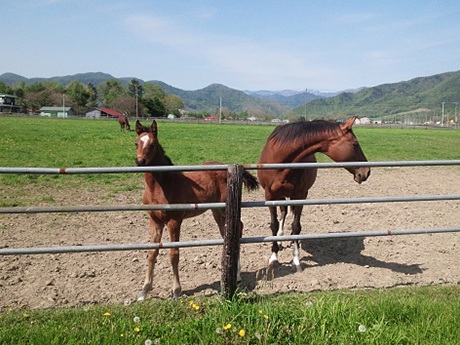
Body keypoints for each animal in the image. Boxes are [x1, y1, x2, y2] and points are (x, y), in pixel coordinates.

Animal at [135, 119, 260, 300]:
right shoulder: (155, 220)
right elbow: (152, 252)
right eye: (136, 143)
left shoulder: (174, 221)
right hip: (217, 211)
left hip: (224, 209)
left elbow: (174, 254)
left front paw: (176, 291)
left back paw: (236, 275)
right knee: (226, 231)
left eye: (152, 144)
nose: (140, 161)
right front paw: (144, 291)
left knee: (239, 227)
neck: (162, 185)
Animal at [256, 117, 372, 270]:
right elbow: (274, 224)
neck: (281, 160)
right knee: (283, 212)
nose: (366, 172)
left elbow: (296, 226)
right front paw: (274, 257)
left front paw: (296, 259)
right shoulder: (269, 196)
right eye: (355, 144)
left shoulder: (300, 195)